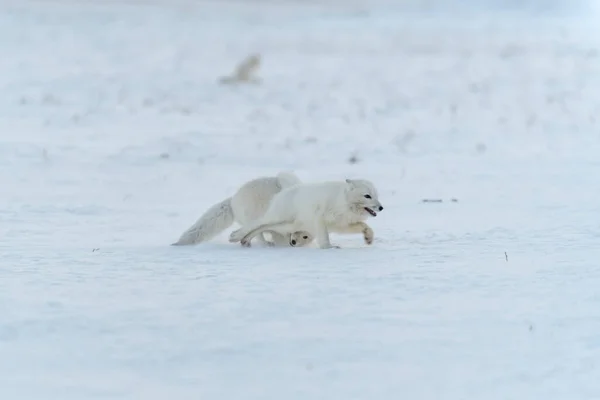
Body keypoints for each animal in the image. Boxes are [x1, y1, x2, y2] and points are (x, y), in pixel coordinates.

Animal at [171, 172, 314, 247]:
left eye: (306, 236)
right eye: (302, 234)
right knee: (257, 234)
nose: (293, 242)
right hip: (252, 215)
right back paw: (263, 244)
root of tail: (233, 200)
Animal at [230, 179, 384, 248]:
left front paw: (369, 238)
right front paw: (328, 247)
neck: (343, 202)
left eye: (376, 195)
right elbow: (324, 237)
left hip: (288, 226)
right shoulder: (320, 217)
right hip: (280, 219)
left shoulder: (341, 224)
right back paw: (235, 236)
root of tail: (280, 194)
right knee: (257, 224)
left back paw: (244, 240)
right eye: (367, 196)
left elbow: (364, 226)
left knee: (262, 227)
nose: (381, 207)